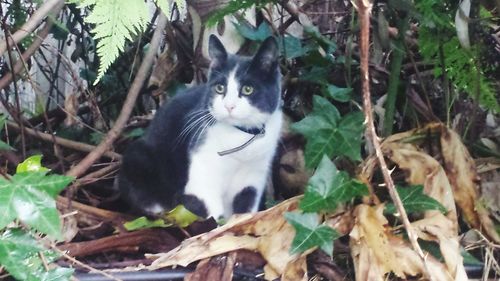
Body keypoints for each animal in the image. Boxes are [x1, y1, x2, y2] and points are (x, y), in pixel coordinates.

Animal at [116, 35, 282, 219]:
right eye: (220, 88)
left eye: (248, 89)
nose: (229, 106)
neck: (241, 135)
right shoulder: (201, 174)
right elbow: (212, 213)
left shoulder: (253, 177)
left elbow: (245, 208)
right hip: (138, 155)